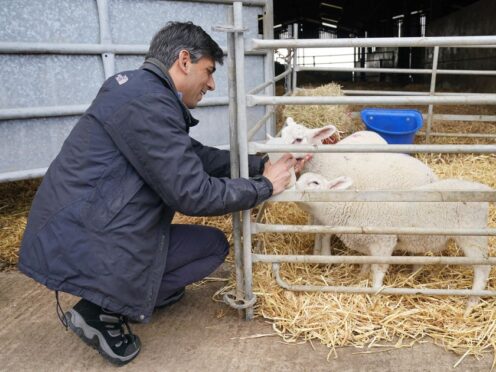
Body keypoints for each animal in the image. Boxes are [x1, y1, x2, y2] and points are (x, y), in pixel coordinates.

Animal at [294, 173, 492, 312]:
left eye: (315, 183)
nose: (292, 187)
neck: (349, 207)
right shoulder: (368, 243)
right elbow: (366, 264)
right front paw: (360, 278)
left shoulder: (384, 242)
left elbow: (378, 270)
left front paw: (374, 293)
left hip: (472, 235)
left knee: (483, 268)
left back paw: (471, 304)